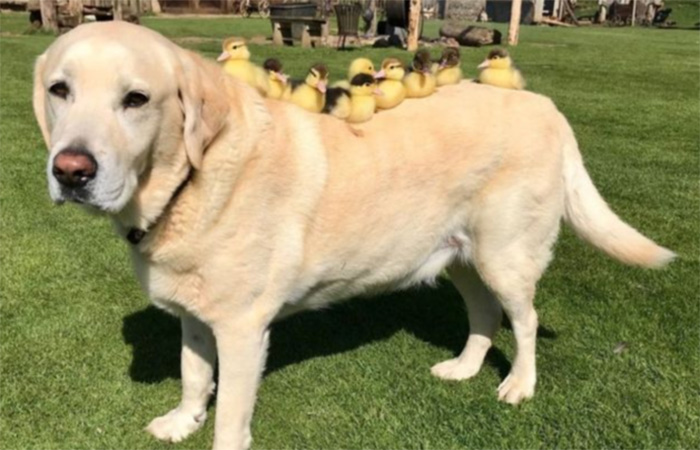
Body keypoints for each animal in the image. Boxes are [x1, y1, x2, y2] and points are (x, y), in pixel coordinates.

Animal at [32, 22, 672, 450]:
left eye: (137, 99)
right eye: (60, 90)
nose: (72, 171)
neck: (191, 180)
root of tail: (544, 104)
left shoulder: (242, 329)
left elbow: (231, 412)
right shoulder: (195, 313)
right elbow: (194, 375)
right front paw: (183, 421)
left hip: (504, 256)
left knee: (527, 320)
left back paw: (520, 385)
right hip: (459, 258)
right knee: (485, 314)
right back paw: (466, 368)